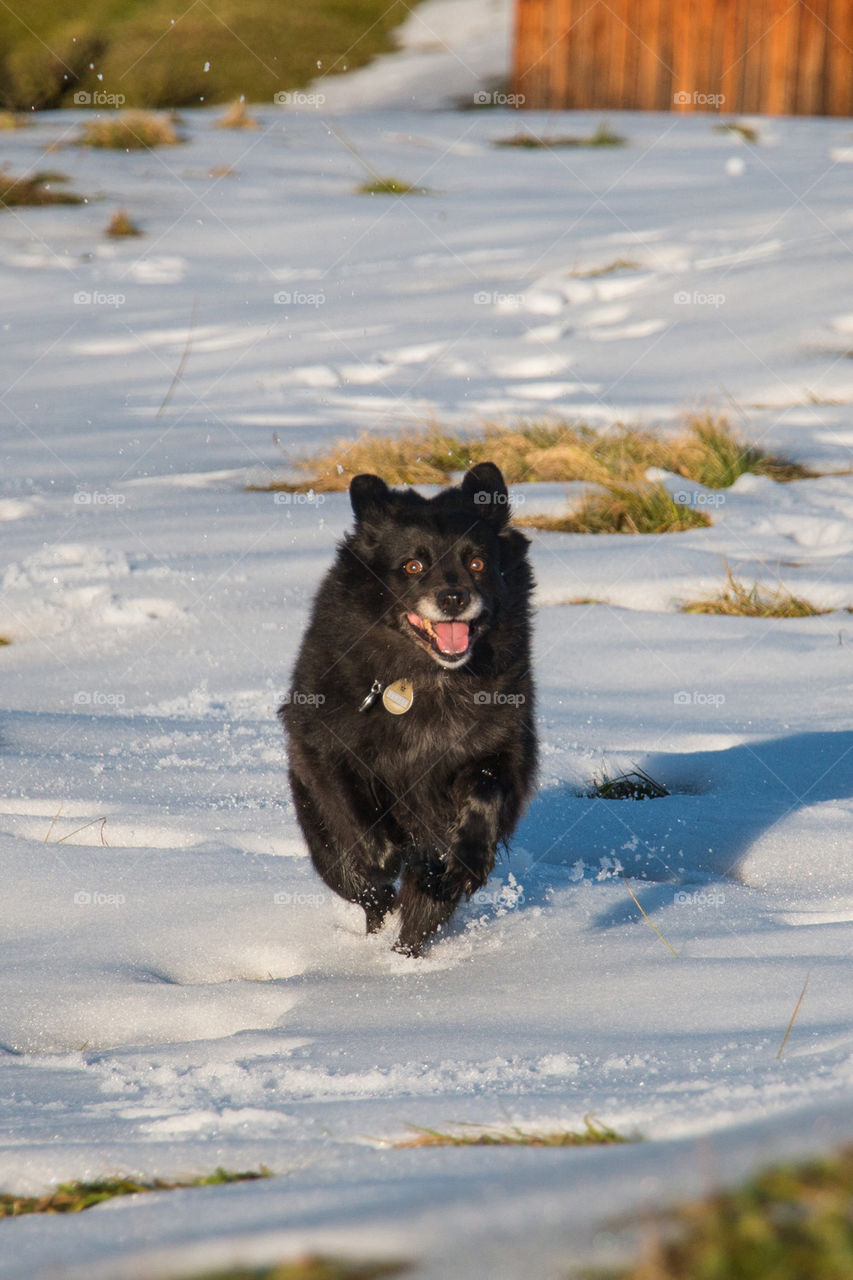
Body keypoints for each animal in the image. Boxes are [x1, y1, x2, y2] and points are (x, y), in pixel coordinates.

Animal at [279, 465, 532, 957]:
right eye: (414, 566)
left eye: (477, 563)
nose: (453, 597)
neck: (425, 679)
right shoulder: (325, 748)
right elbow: (358, 816)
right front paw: (389, 854)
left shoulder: (503, 744)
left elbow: (486, 787)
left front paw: (466, 858)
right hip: (321, 839)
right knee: (366, 892)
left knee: (418, 918)